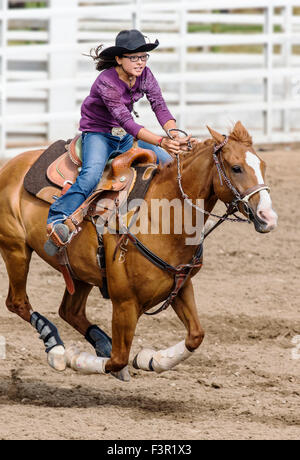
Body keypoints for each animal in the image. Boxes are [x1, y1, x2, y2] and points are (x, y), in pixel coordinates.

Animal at [0, 122, 278, 380]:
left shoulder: (180, 286)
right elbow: (118, 360)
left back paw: (99, 342)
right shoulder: (125, 303)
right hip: (16, 249)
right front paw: (73, 357)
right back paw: (56, 348)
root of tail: (10, 166)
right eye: (236, 167)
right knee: (18, 302)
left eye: (263, 165)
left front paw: (150, 359)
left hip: (79, 272)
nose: (268, 217)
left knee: (70, 311)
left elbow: (195, 335)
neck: (161, 218)